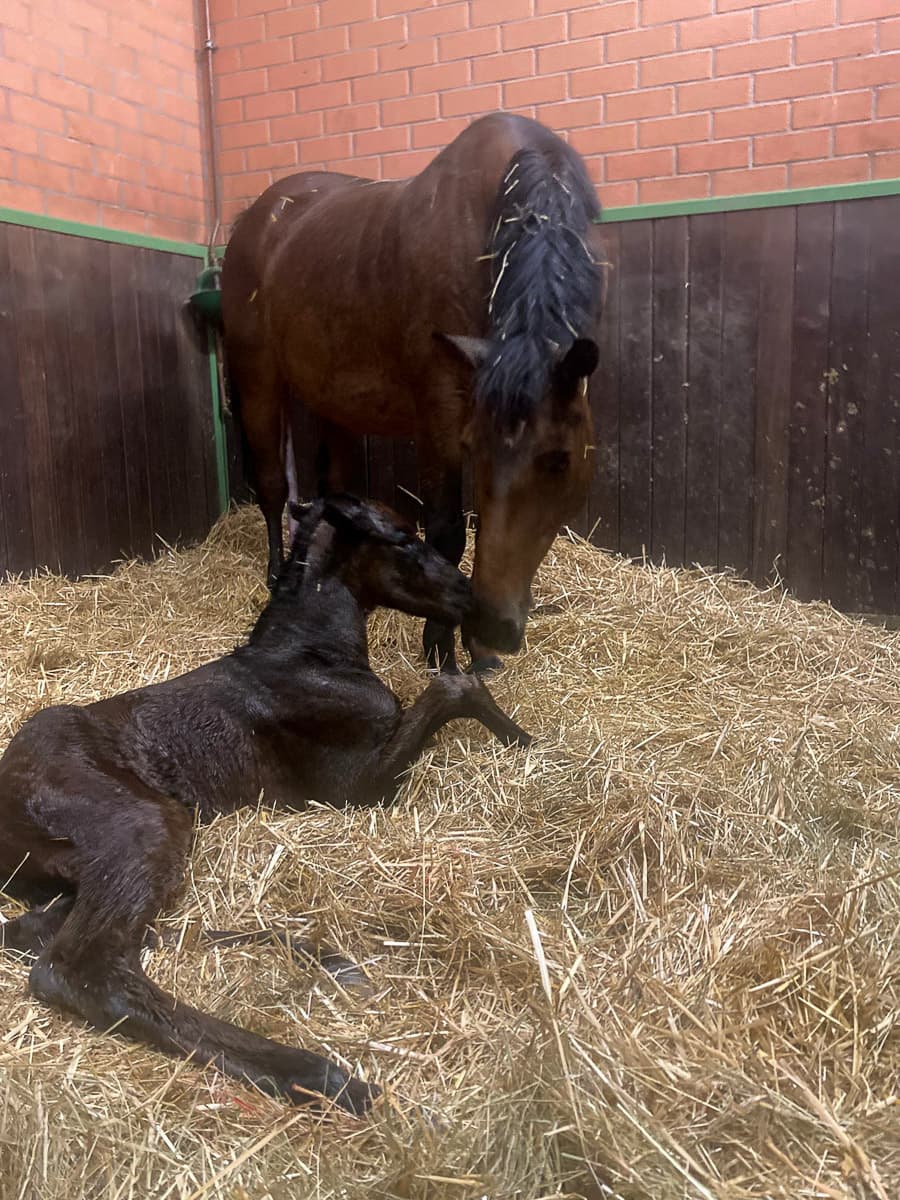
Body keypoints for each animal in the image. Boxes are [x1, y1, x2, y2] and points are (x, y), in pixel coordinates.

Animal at [0, 495, 531, 1115]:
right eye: (403, 540)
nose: (470, 595)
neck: (309, 657)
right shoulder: (352, 788)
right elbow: (455, 687)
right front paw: (523, 739)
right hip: (143, 822)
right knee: (80, 967)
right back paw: (326, 1077)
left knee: (66, 929)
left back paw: (325, 960)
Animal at [221, 111, 603, 674]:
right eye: (472, 450)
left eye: (559, 461)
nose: (494, 624)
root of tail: (259, 214)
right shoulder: (441, 409)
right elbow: (447, 532)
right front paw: (442, 646)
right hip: (259, 379)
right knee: (271, 483)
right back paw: (275, 572)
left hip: (333, 396)